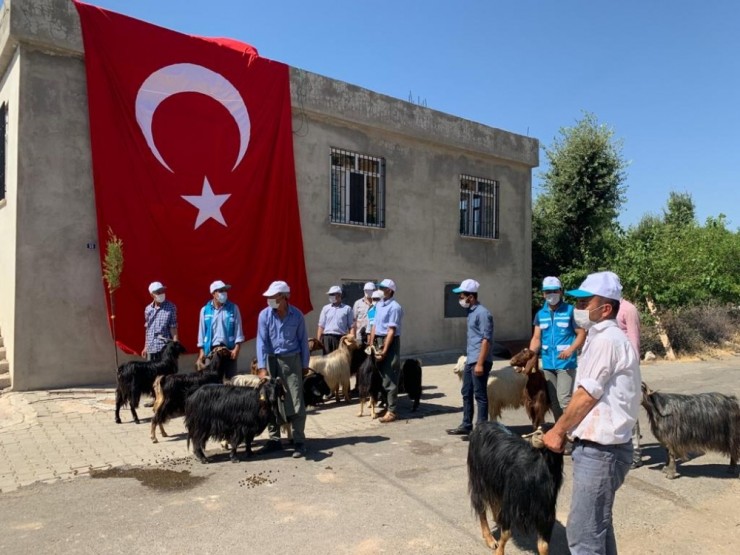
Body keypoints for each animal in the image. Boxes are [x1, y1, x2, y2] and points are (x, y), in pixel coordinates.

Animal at [466, 424, 564, 552]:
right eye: (539, 429)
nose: (538, 435)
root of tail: (481, 426)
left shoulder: (545, 511)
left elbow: (543, 545)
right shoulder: (511, 501)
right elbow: (506, 534)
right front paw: (498, 551)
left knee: (494, 500)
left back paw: (497, 519)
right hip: (479, 477)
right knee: (481, 505)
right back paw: (490, 539)